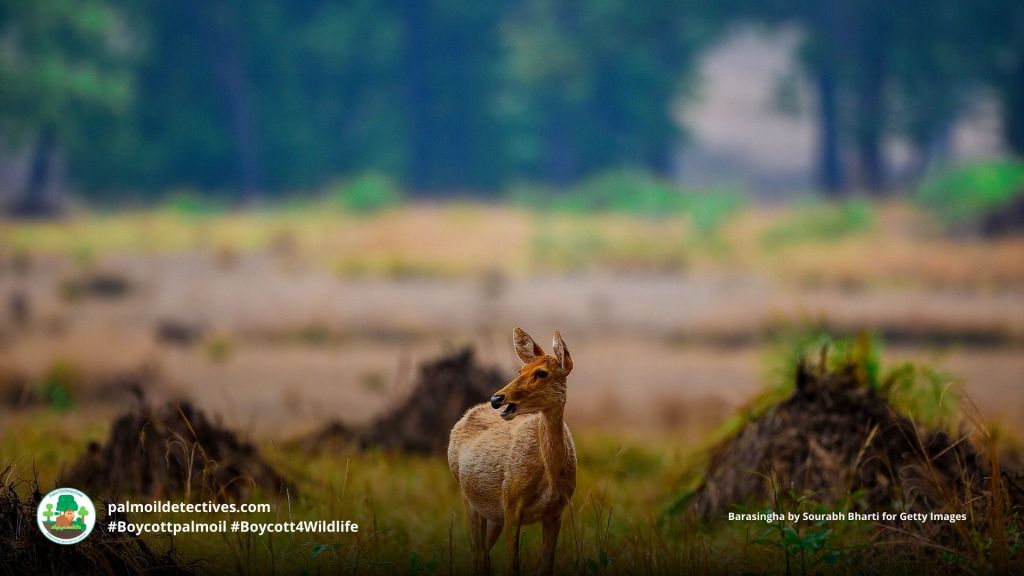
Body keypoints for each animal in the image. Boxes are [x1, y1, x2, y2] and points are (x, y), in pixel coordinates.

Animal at [448, 327, 576, 576]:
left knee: (484, 554)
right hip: (469, 499)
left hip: (492, 514)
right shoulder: (512, 504)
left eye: (542, 372)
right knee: (477, 553)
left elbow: (546, 566)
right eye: (520, 370)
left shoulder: (556, 512)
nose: (497, 398)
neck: (550, 474)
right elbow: (512, 566)